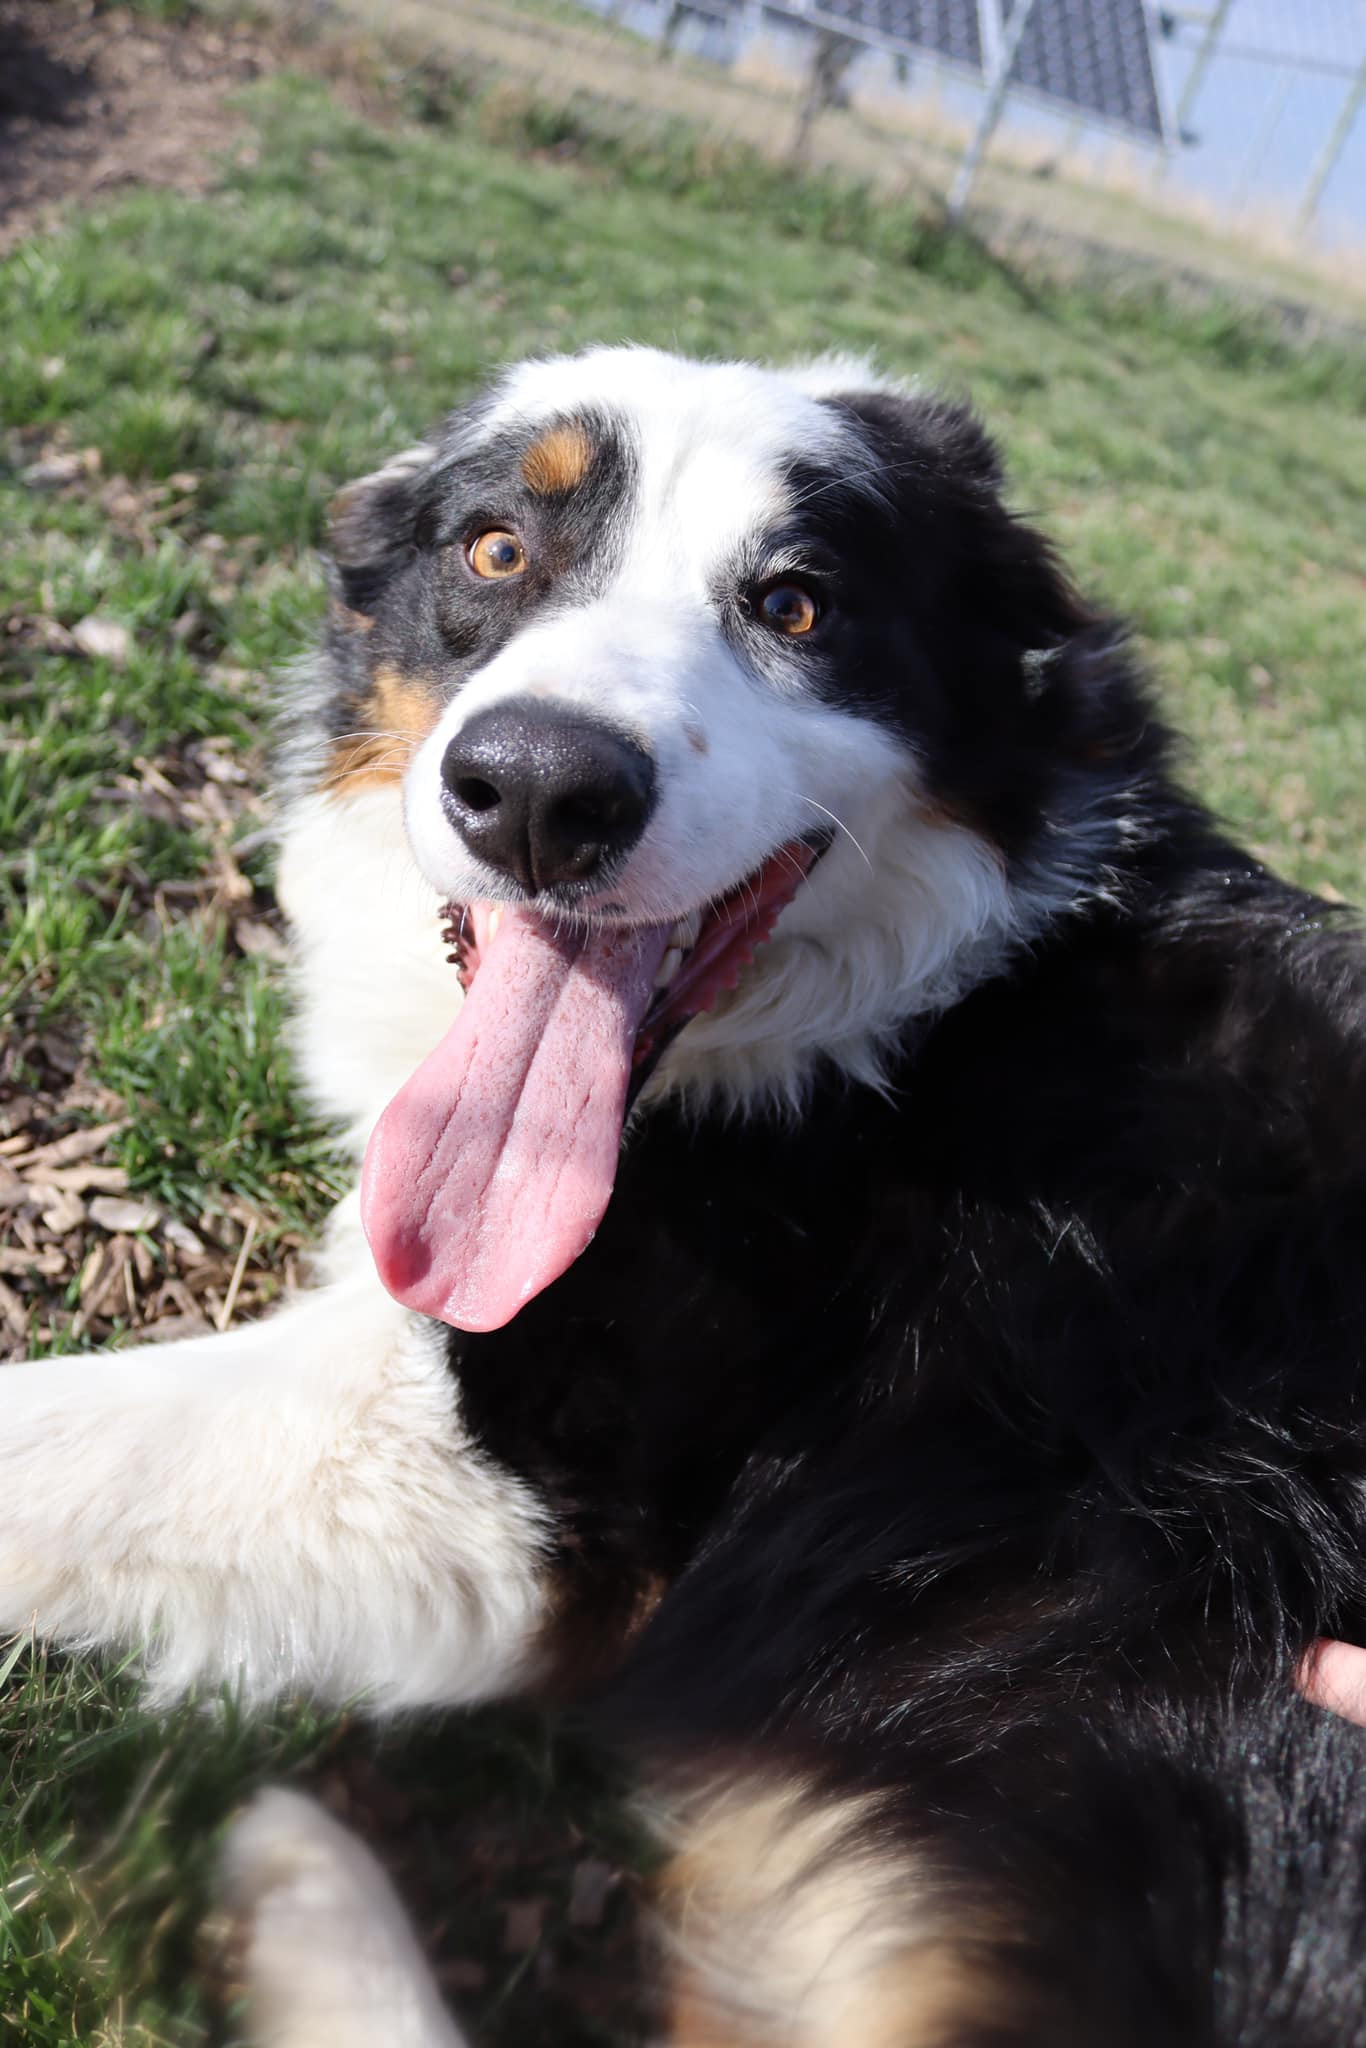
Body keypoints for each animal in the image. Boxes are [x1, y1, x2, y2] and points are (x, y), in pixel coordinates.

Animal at [2, 344, 1366, 2039]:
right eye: (495, 550)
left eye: (796, 604)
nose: (536, 792)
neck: (904, 1033)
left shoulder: (525, 1496)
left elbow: (48, 1441)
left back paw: (294, 1878)